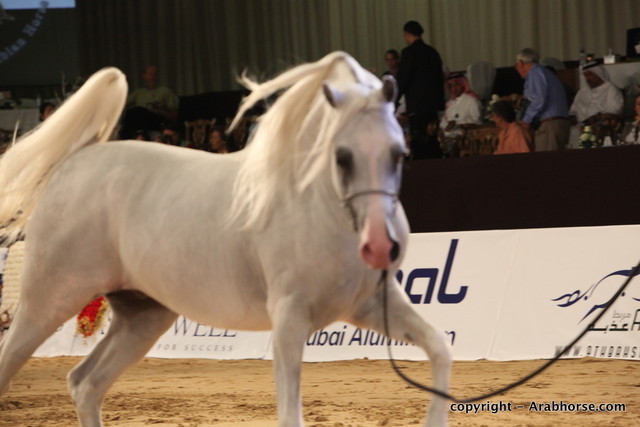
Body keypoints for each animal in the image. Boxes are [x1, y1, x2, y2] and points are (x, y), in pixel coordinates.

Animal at [0, 51, 451, 427]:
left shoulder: (370, 306)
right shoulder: (290, 317)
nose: (379, 246)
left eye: (398, 152)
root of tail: (74, 164)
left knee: (85, 383)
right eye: (341, 156)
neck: (321, 208)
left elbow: (439, 350)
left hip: (141, 317)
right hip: (48, 302)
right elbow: (290, 414)